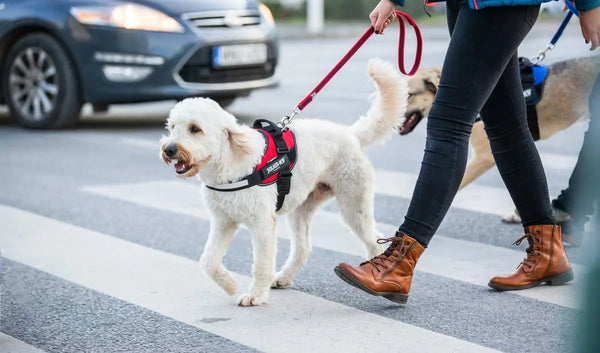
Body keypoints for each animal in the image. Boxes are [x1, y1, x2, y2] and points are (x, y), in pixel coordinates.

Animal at [159, 58, 408, 306]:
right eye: (171, 127)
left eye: (195, 129)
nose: (169, 149)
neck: (228, 162)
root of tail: (351, 134)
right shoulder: (223, 221)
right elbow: (208, 261)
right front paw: (229, 285)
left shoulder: (262, 224)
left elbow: (261, 265)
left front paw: (256, 295)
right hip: (302, 209)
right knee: (303, 248)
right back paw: (282, 277)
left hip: (353, 204)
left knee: (373, 240)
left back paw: (374, 277)